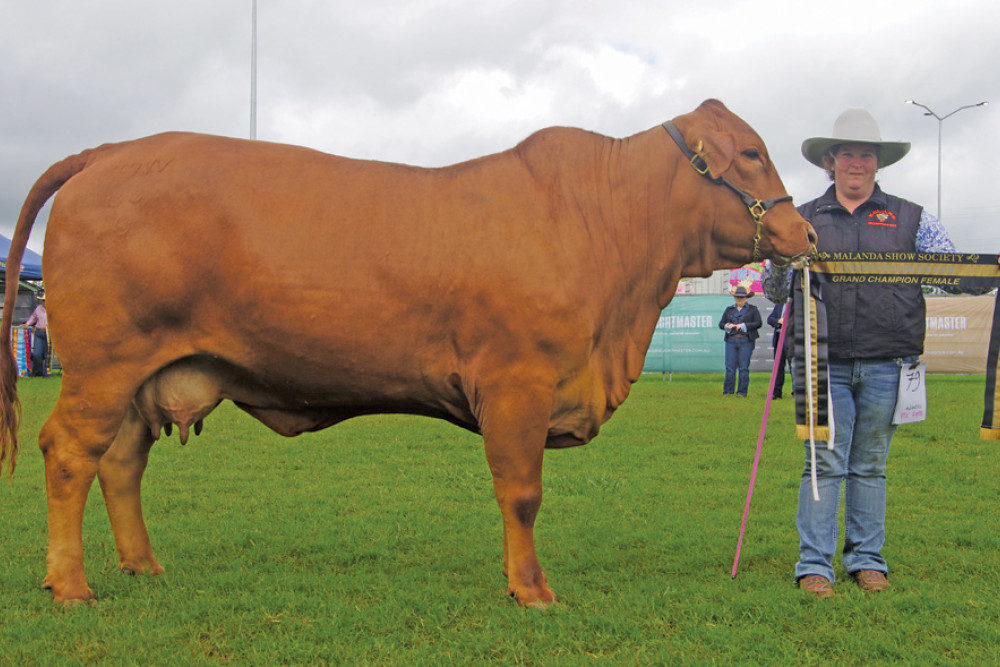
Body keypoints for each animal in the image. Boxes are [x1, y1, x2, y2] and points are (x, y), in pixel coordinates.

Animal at [0, 99, 812, 604]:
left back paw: (143, 564)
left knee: (121, 462)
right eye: (750, 151)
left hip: (143, 374)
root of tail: (111, 151)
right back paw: (70, 585)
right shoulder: (517, 383)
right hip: (103, 366)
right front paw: (532, 590)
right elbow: (522, 493)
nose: (803, 233)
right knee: (69, 452)